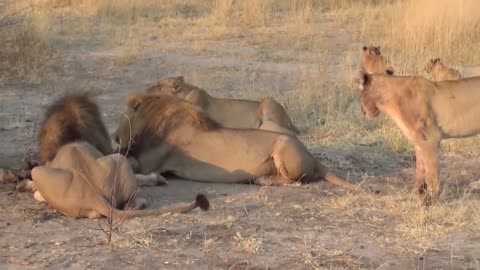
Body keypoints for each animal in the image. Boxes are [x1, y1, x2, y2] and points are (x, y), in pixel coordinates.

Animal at [113, 92, 364, 192]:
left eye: (123, 117)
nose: (114, 136)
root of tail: (313, 158)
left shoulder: (151, 163)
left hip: (283, 143)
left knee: (297, 181)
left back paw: (263, 179)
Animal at [358, 71, 480, 202]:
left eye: (361, 94)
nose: (362, 111)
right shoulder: (419, 140)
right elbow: (420, 168)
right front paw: (416, 191)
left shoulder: (431, 138)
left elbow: (431, 171)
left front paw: (431, 198)